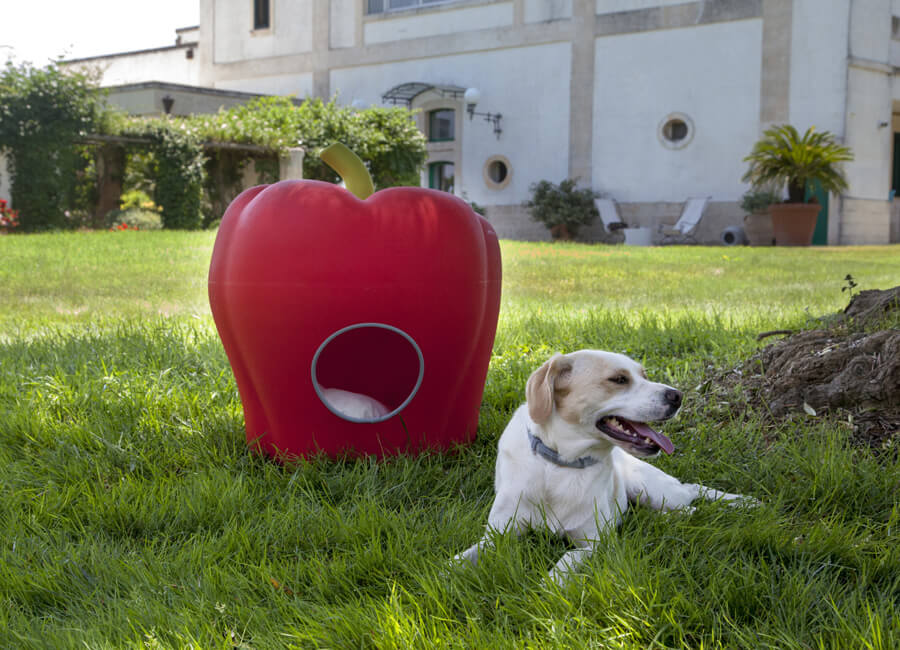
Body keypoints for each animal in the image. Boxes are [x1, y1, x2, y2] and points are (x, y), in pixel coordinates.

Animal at [454, 350, 756, 584]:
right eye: (619, 380)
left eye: (644, 375)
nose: (678, 396)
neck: (562, 464)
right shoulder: (498, 533)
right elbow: (461, 557)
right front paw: (446, 574)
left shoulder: (591, 543)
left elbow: (563, 563)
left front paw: (545, 590)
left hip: (653, 490)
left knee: (691, 493)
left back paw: (741, 503)